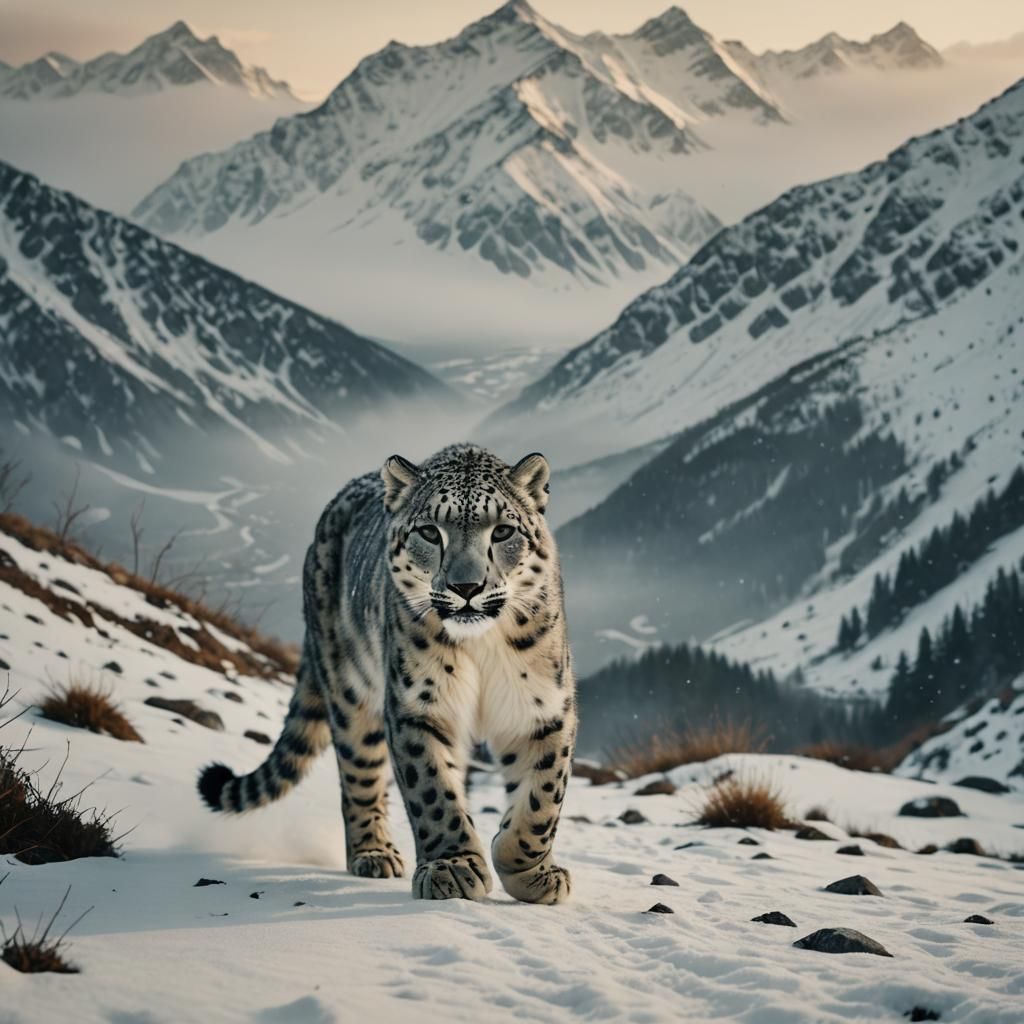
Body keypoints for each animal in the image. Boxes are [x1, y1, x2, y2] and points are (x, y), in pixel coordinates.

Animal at [198, 443, 576, 904]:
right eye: (430, 532)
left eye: (503, 531)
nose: (467, 587)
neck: (481, 648)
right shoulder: (419, 705)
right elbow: (433, 791)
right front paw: (453, 866)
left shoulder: (543, 707)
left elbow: (542, 799)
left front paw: (529, 872)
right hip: (351, 694)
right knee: (359, 776)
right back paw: (374, 853)